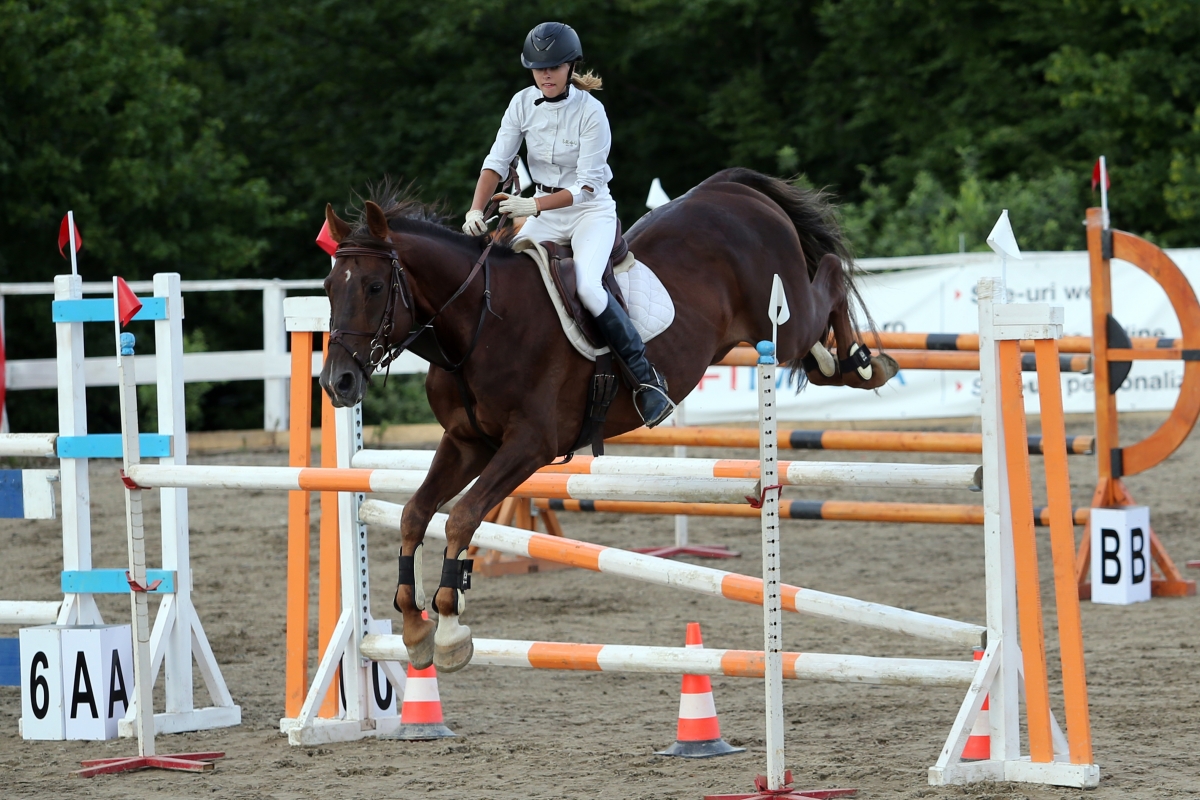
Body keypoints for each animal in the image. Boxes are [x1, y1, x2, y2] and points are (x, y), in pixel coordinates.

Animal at [319, 167, 902, 671]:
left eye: (374, 288)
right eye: (327, 288)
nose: (337, 383)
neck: (480, 321)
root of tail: (731, 189)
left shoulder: (529, 445)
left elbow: (461, 517)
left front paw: (449, 627)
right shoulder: (467, 442)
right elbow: (415, 513)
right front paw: (415, 626)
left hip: (781, 315)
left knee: (829, 279)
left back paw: (863, 362)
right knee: (816, 327)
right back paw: (837, 362)